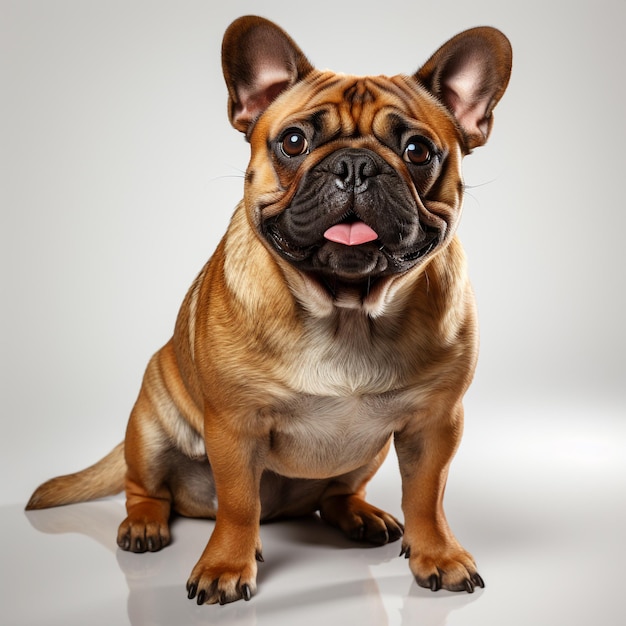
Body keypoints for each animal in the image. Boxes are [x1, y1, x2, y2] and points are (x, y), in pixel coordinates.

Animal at [26, 17, 510, 604]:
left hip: (364, 457)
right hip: (150, 425)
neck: (347, 308)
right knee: (145, 488)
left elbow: (427, 496)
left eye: (418, 150)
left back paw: (360, 515)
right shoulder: (234, 427)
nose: (355, 165)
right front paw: (226, 566)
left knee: (334, 495)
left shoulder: (436, 423)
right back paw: (144, 524)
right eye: (294, 141)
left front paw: (438, 554)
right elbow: (238, 504)